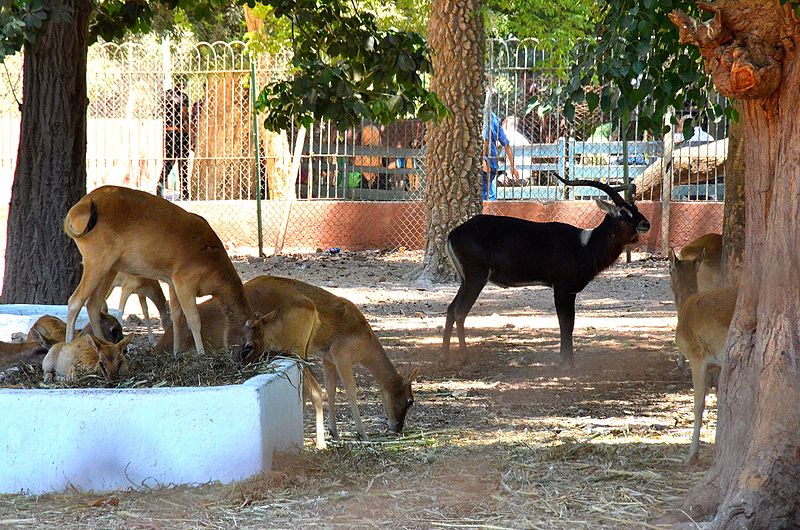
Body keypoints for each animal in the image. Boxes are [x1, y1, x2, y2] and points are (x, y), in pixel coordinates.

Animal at [63, 186, 252, 354]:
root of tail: (80, 207)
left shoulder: (172, 283)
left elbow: (177, 316)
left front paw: (176, 352)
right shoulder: (184, 282)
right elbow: (193, 319)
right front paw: (201, 353)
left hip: (110, 269)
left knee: (93, 305)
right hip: (97, 263)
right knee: (75, 302)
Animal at [444, 177, 648, 368]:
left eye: (635, 207)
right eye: (623, 211)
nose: (646, 224)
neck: (584, 245)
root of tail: (452, 234)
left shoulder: (570, 292)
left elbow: (570, 323)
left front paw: (568, 360)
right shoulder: (561, 288)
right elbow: (565, 323)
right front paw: (567, 363)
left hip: (465, 280)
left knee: (451, 309)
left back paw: (444, 357)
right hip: (476, 278)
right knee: (460, 312)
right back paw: (465, 358)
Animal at [668, 248, 736, 462]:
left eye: (669, 268)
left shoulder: (697, 356)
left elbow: (699, 404)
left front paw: (692, 454)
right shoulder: (718, 365)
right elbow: (721, 401)